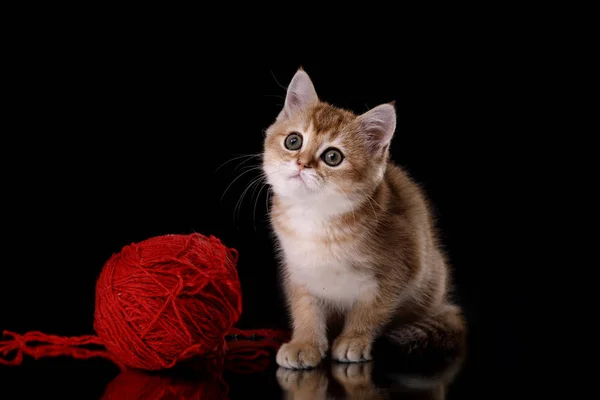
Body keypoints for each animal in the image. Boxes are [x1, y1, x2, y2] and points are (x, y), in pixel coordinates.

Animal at [264, 68, 468, 368]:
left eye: (332, 157)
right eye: (293, 141)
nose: (302, 163)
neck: (315, 218)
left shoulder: (399, 267)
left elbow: (371, 309)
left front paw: (354, 339)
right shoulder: (298, 270)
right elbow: (305, 308)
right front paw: (305, 342)